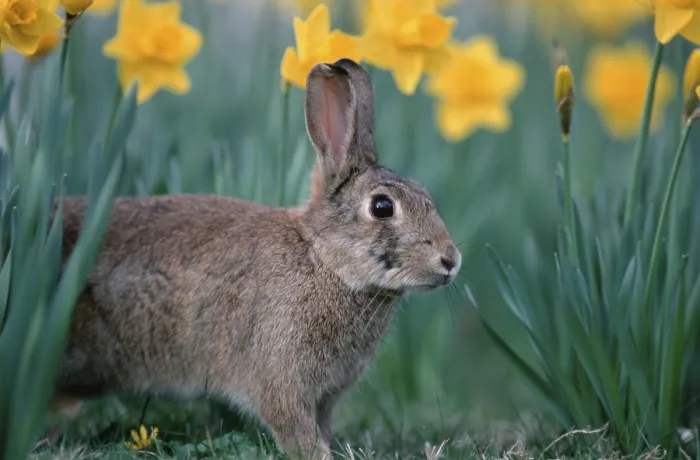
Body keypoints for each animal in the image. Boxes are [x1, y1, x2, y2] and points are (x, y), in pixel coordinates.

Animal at [53, 58, 462, 459]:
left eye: (425, 194)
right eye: (382, 207)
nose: (451, 260)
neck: (323, 260)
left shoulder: (327, 396)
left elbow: (323, 426)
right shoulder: (281, 381)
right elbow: (298, 433)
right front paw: (319, 455)